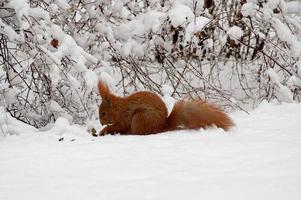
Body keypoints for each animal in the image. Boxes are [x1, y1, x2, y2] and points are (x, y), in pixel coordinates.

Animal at [95, 79, 233, 136]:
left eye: (103, 113)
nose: (101, 123)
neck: (117, 108)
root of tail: (161, 126)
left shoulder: (123, 118)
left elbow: (119, 126)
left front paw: (104, 130)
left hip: (140, 118)